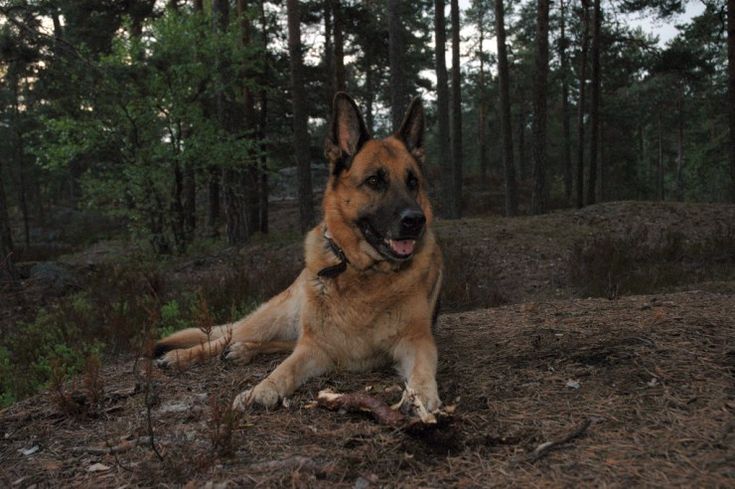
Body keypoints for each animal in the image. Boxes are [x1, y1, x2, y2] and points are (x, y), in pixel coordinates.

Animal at [155, 92, 442, 412]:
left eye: (413, 182)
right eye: (374, 181)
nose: (415, 220)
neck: (363, 275)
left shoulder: (417, 340)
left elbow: (422, 368)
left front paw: (422, 395)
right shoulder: (314, 347)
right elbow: (284, 369)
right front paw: (261, 390)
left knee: (276, 343)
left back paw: (242, 351)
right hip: (271, 319)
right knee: (223, 338)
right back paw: (181, 356)